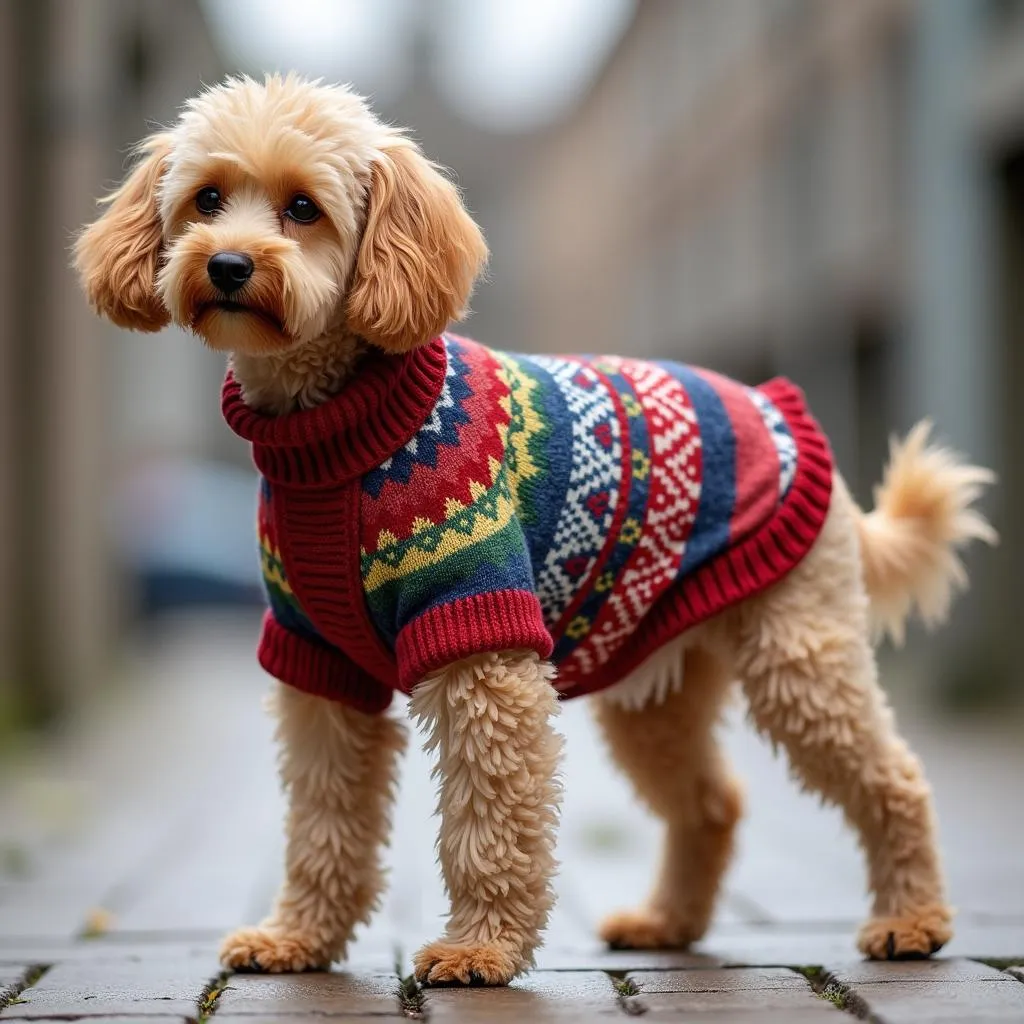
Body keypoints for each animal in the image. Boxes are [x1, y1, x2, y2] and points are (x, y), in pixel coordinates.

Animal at [75, 72, 995, 983]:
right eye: (206, 198)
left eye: (303, 209)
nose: (227, 264)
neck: (338, 433)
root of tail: (782, 412)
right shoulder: (320, 665)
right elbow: (322, 820)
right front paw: (298, 936)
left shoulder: (480, 645)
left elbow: (491, 819)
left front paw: (481, 948)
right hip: (657, 694)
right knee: (712, 803)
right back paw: (668, 923)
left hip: (798, 658)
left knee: (894, 780)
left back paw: (911, 920)